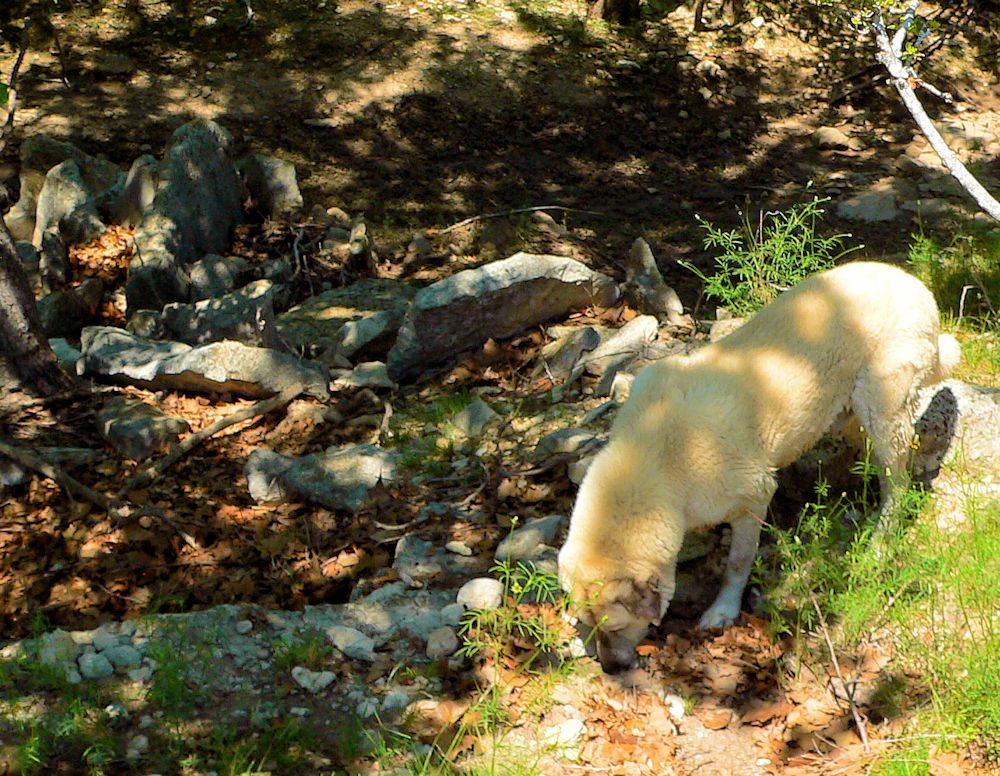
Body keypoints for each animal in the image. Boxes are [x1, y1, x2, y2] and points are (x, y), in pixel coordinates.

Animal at [564, 260, 960, 672]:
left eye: (616, 626)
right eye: (589, 625)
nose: (610, 669)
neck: (655, 454)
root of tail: (914, 283)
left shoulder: (753, 498)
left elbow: (737, 563)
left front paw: (723, 611)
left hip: (884, 404)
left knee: (897, 483)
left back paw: (879, 542)